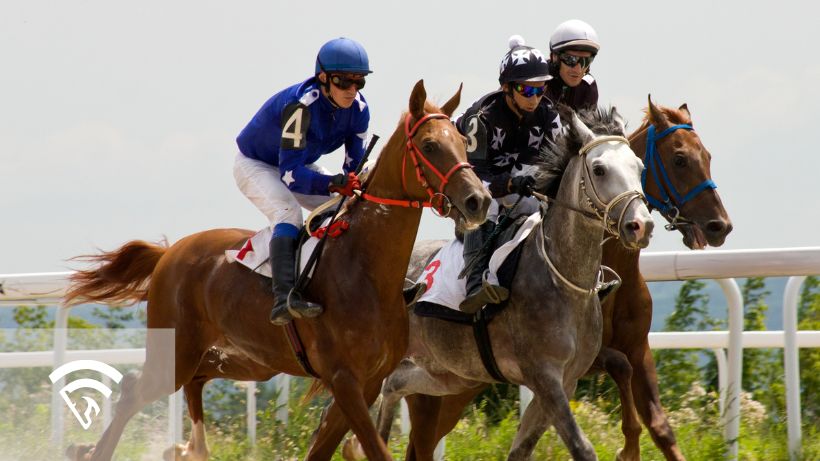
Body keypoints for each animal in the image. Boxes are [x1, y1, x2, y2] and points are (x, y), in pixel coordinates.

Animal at [64, 80, 490, 460]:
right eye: (430, 145)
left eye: (462, 141)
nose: (478, 201)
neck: (367, 273)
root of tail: (170, 252)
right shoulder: (344, 380)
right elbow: (373, 449)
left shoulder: (367, 383)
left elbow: (323, 450)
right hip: (177, 351)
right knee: (135, 389)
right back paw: (94, 452)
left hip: (247, 360)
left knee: (191, 381)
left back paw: (187, 449)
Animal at [372, 98, 732, 460]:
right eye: (679, 159)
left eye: (639, 167)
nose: (720, 225)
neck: (566, 279)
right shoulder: (546, 376)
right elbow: (584, 442)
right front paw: (628, 446)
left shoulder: (596, 366)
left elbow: (654, 422)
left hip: (450, 376)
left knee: (400, 394)